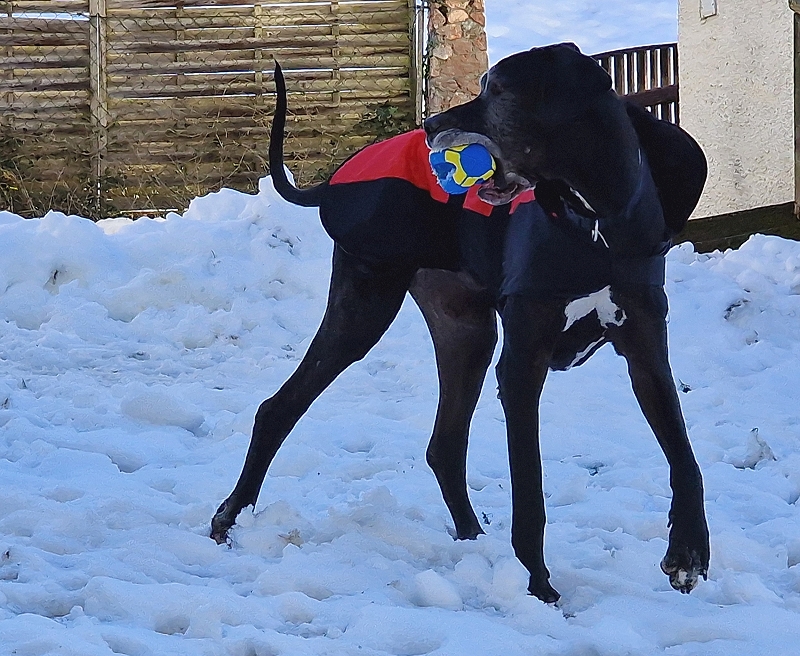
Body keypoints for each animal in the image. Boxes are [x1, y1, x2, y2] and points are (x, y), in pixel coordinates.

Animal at [211, 43, 710, 604]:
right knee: (278, 409)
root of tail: (335, 181)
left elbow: (684, 456)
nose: (431, 127)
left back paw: (473, 539)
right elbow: (529, 490)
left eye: (499, 89)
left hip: (466, 333)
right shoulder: (522, 365)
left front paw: (688, 552)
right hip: (366, 307)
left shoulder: (647, 349)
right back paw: (229, 518)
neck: (595, 217)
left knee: (444, 445)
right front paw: (537, 585)